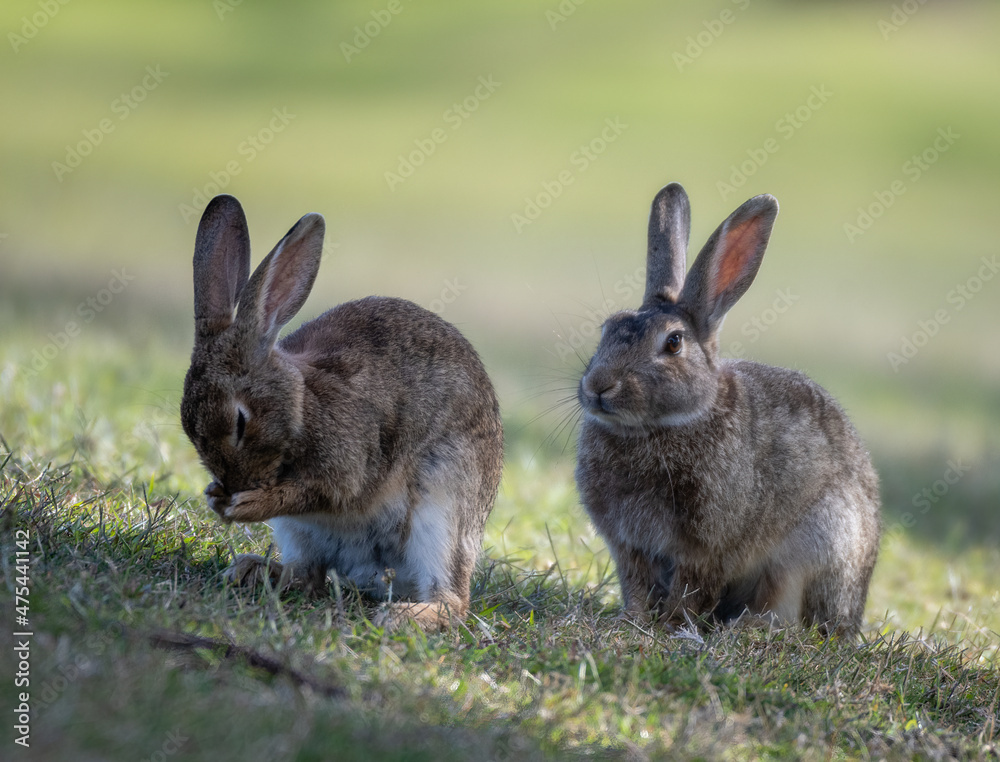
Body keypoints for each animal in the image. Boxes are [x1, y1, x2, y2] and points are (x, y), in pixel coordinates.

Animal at [180, 194, 504, 631]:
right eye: (191, 432)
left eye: (240, 422)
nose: (235, 486)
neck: (302, 407)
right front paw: (216, 499)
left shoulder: (349, 461)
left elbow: (323, 491)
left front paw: (247, 506)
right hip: (299, 535)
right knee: (307, 576)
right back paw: (251, 571)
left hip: (443, 508)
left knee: (454, 600)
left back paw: (402, 615)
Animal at [575, 183, 880, 637]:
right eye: (607, 329)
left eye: (673, 343)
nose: (598, 387)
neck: (659, 426)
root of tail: (852, 616)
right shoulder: (629, 544)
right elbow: (638, 583)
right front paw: (634, 620)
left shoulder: (707, 545)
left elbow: (692, 587)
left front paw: (671, 625)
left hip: (819, 545)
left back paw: (748, 627)